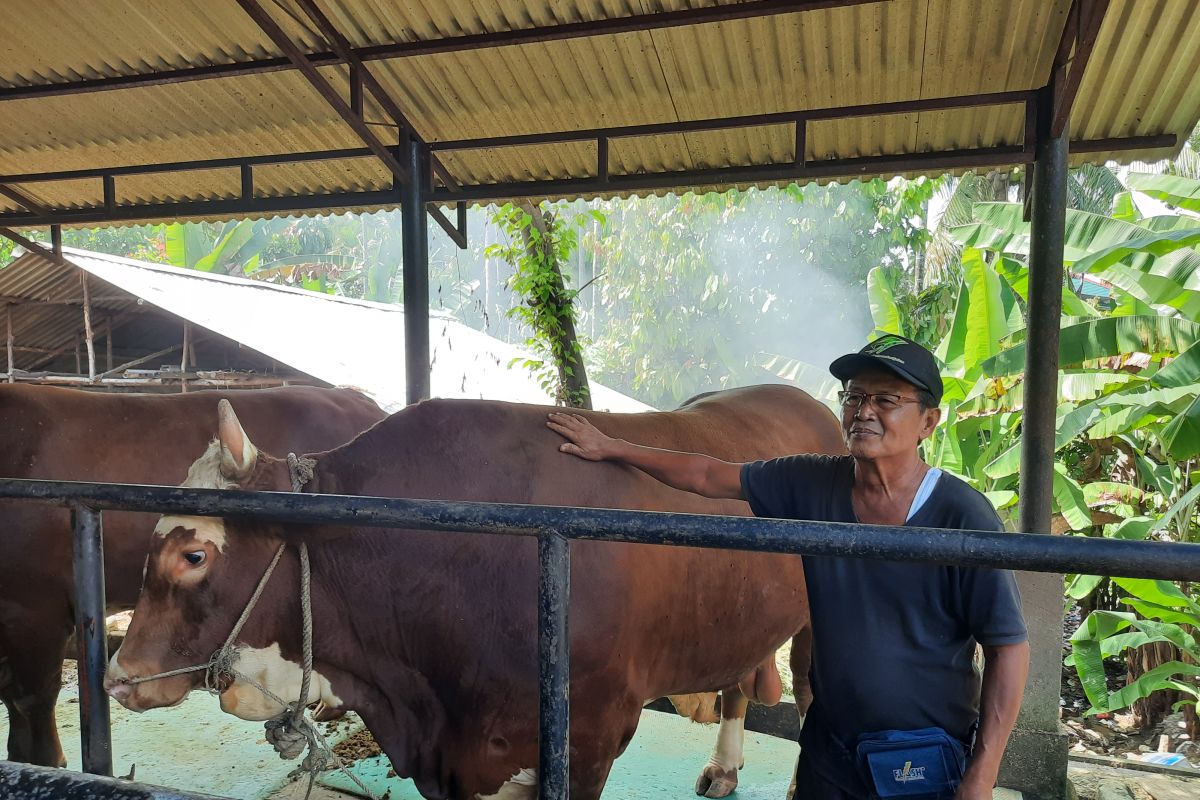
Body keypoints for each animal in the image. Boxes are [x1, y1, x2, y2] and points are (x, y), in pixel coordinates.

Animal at [110, 383, 844, 796]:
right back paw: (724, 767)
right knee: (739, 679)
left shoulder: (593, 734)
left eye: (194, 554)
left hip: (815, 629)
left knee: (813, 696)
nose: (120, 676)